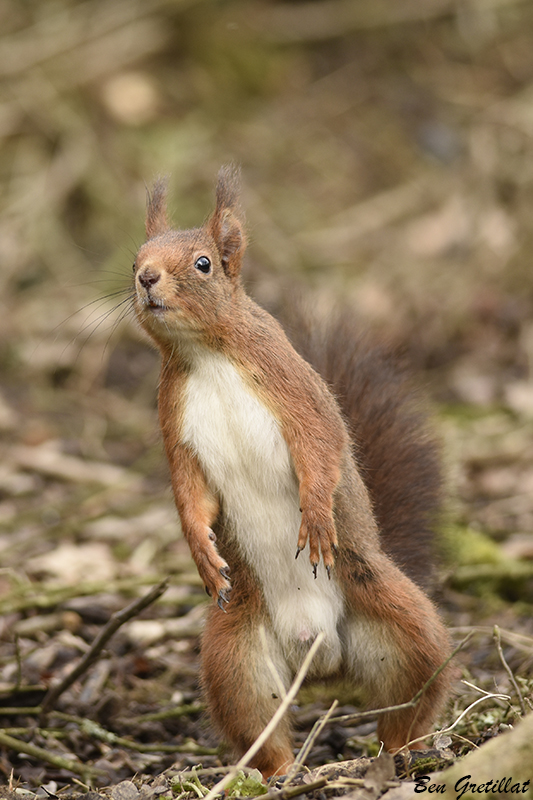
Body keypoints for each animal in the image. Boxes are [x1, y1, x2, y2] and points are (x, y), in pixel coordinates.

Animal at [132, 167, 448, 776]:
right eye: (136, 255)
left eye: (204, 262)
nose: (145, 277)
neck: (207, 354)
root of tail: (321, 654)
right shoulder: (175, 429)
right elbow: (189, 494)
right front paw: (202, 552)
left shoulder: (294, 390)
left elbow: (321, 448)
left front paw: (317, 516)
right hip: (235, 654)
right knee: (258, 723)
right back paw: (278, 772)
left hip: (397, 619)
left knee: (412, 696)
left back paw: (404, 749)